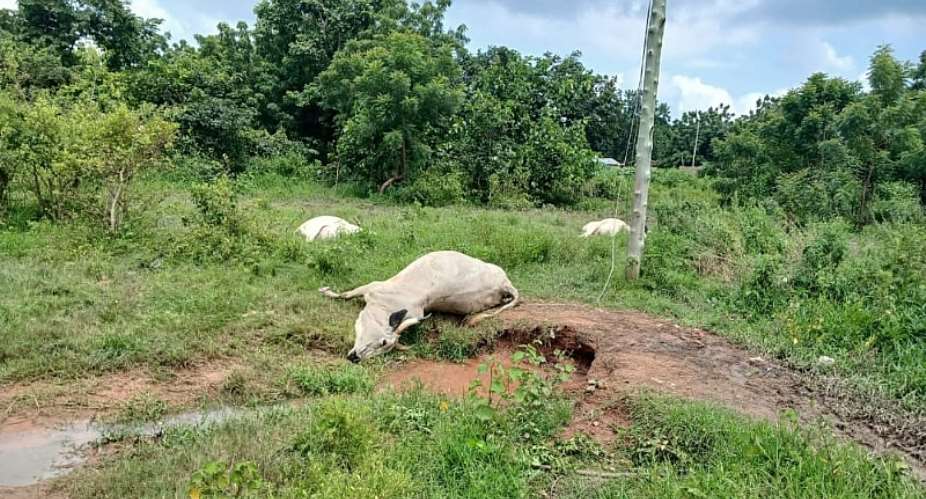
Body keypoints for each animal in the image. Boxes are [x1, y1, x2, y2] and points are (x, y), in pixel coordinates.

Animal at [319, 251, 520, 362]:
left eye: (384, 345)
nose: (355, 358)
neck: (385, 307)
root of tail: (505, 283)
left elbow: (345, 294)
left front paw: (326, 291)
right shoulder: (371, 288)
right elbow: (346, 294)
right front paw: (325, 290)